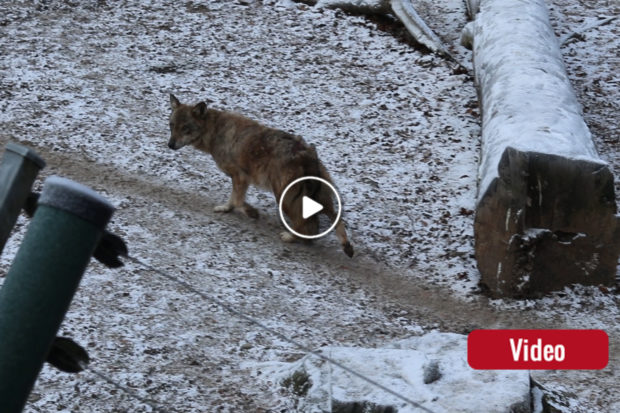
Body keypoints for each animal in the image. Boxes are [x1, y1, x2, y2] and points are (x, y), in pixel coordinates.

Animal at [167, 94, 354, 256]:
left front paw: (251, 212)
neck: (215, 131)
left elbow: (238, 200)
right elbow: (233, 199)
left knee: (305, 225)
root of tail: (305, 154)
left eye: (185, 128)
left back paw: (290, 237)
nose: (170, 145)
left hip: (284, 197)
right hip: (320, 196)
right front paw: (226, 209)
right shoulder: (239, 179)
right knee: (336, 220)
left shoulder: (240, 176)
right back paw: (347, 247)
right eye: (171, 125)